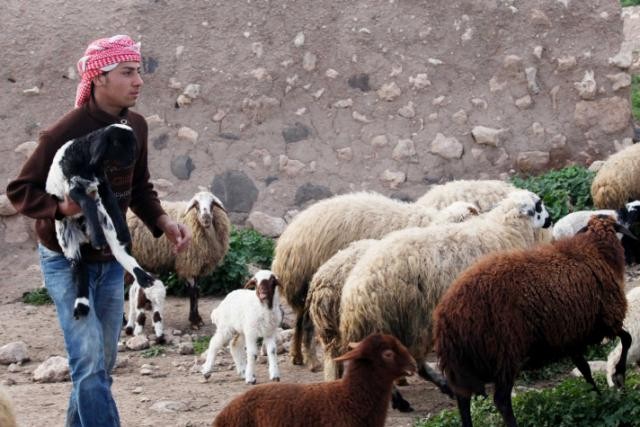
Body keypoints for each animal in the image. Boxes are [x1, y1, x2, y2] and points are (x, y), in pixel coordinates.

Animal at [45, 123, 160, 318]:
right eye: (118, 143)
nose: (133, 158)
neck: (85, 160)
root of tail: (82, 233)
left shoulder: (103, 185)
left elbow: (113, 206)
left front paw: (124, 233)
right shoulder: (73, 189)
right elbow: (89, 203)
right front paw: (98, 239)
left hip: (108, 230)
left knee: (123, 255)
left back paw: (144, 278)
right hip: (67, 238)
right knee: (79, 268)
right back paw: (81, 304)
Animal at [340, 191, 552, 412]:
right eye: (538, 205)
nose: (551, 218)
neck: (505, 230)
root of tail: (356, 293)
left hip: (391, 322)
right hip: (414, 319)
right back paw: (410, 396)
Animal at [432, 217, 632, 427]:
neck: (596, 250)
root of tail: (447, 317)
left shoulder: (569, 336)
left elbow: (584, 368)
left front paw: (597, 395)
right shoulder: (607, 320)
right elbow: (627, 339)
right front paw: (619, 376)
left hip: (462, 365)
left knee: (463, 399)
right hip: (504, 353)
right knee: (501, 400)